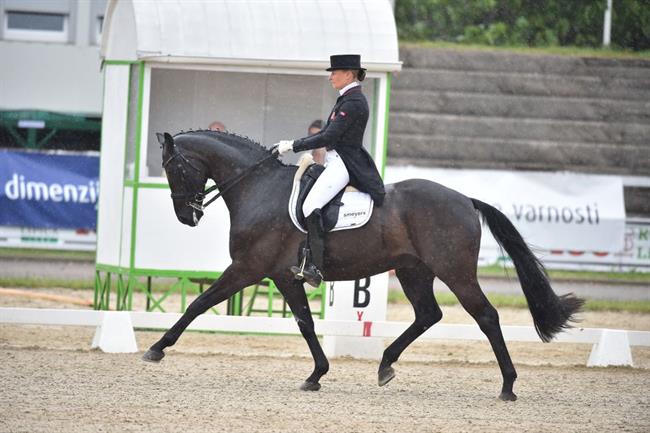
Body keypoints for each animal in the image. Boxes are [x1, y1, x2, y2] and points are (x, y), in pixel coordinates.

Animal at [143, 130, 584, 400]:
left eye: (173, 167)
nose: (187, 216)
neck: (258, 188)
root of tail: (464, 199)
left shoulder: (249, 268)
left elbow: (198, 304)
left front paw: (156, 348)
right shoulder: (284, 276)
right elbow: (305, 322)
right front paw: (316, 374)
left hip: (454, 272)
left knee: (486, 316)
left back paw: (508, 385)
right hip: (413, 270)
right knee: (429, 314)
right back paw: (385, 365)